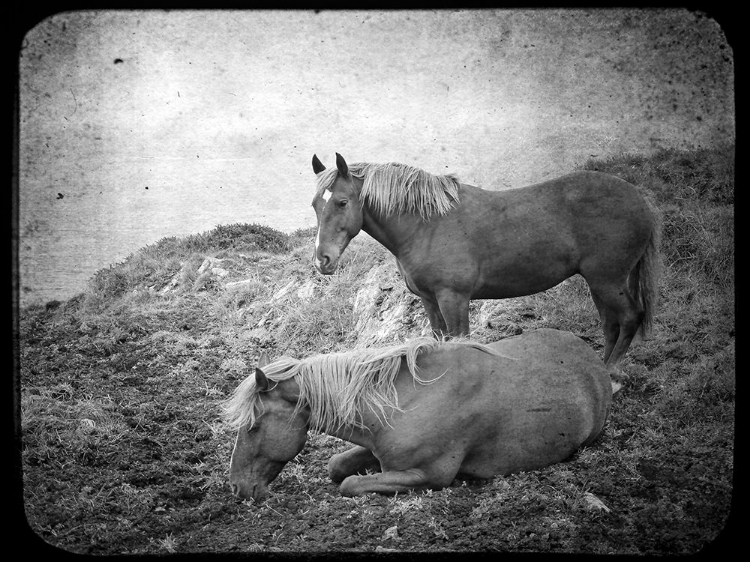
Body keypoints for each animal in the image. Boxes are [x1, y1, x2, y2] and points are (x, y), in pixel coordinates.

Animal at [222, 328, 612, 498]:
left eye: (253, 427)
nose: (237, 487)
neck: (410, 400)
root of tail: (595, 360)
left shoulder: (426, 475)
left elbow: (349, 484)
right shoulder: (378, 448)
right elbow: (337, 466)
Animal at [308, 152, 660, 372]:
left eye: (342, 202)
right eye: (315, 204)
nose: (323, 260)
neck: (426, 225)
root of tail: (639, 199)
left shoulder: (454, 298)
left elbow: (460, 341)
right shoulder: (430, 300)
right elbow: (440, 339)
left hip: (608, 280)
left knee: (630, 317)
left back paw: (611, 373)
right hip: (599, 283)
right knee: (611, 324)